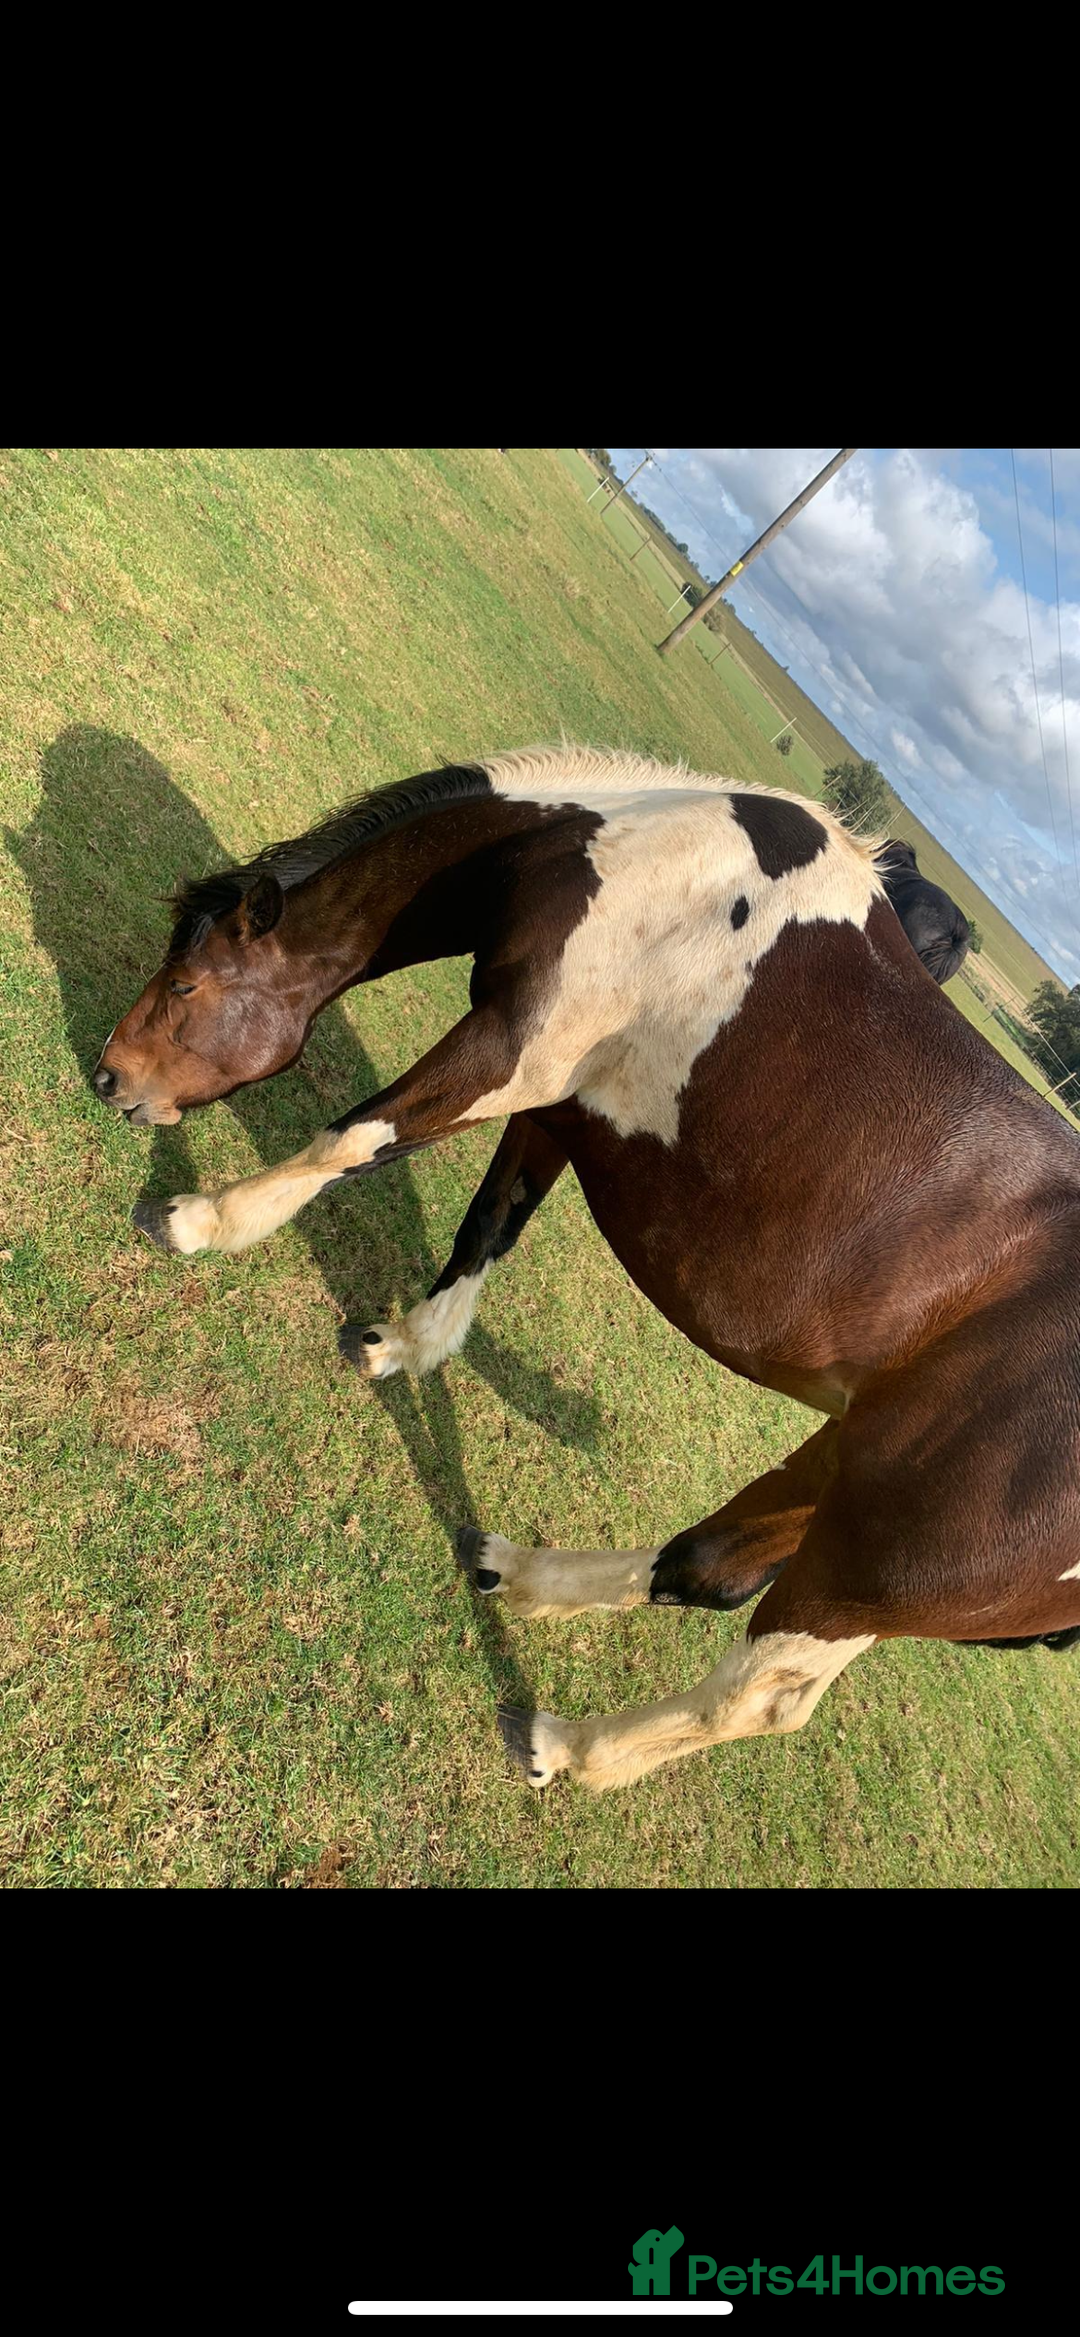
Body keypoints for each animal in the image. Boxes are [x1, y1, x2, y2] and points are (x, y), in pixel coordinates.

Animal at [92, 747, 1080, 1793]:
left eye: (187, 985)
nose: (110, 1076)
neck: (640, 861)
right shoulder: (561, 1102)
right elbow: (490, 1223)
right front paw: (405, 1345)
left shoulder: (507, 1056)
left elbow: (354, 1139)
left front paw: (209, 1219)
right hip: (848, 1472)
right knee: (704, 1567)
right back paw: (517, 1573)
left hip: (875, 1568)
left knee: (759, 1696)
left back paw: (569, 1746)